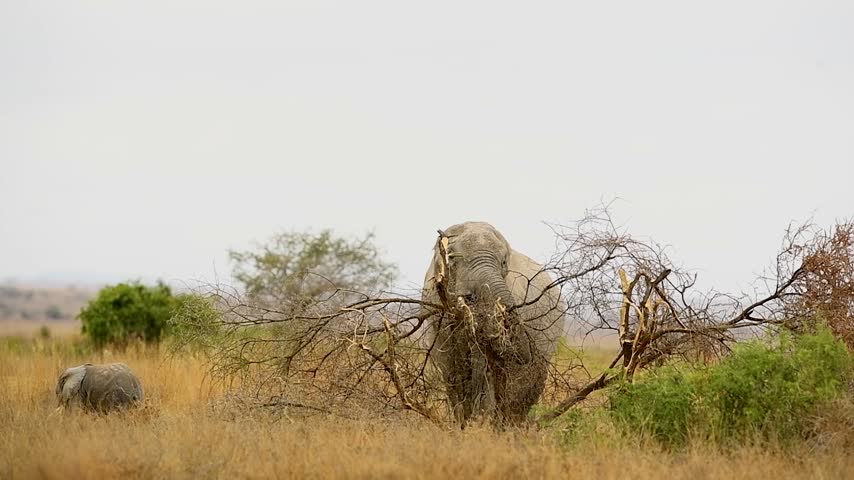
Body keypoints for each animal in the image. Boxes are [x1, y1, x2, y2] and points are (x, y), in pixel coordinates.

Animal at [421, 221, 565, 426]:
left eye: (504, 262)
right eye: (453, 259)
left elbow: (485, 368)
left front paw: (479, 423)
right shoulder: (436, 313)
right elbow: (450, 370)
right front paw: (463, 424)